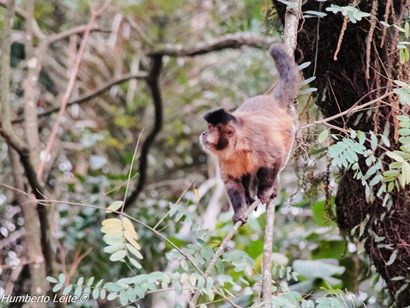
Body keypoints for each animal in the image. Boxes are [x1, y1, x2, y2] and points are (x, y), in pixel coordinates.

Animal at [199, 44, 300, 224]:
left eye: (210, 128)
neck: (237, 144)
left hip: (288, 129)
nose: (204, 133)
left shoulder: (257, 142)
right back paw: (248, 199)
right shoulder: (224, 156)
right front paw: (239, 210)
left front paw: (265, 191)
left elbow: (275, 157)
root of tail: (271, 101)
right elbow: (231, 180)